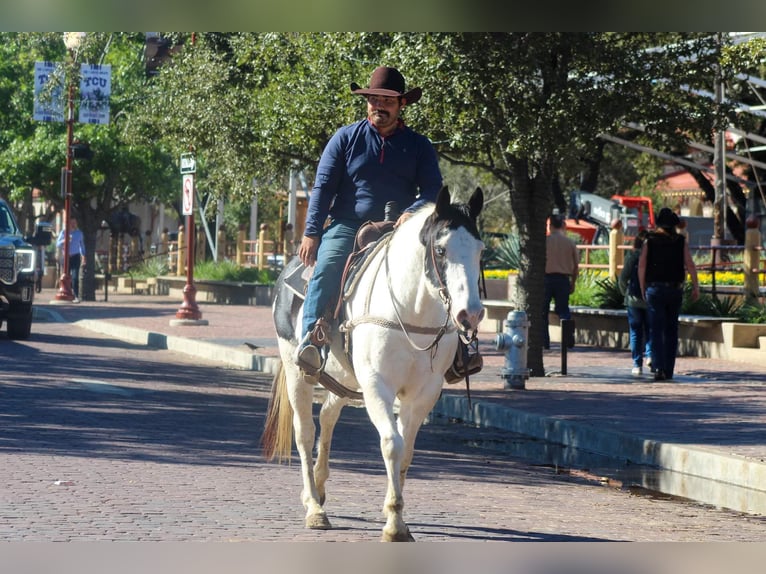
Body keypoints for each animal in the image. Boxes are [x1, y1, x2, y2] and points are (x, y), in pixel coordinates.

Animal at [260, 186, 485, 541]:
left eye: (480, 251)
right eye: (441, 249)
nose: (470, 315)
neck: (410, 311)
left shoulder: (424, 393)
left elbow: (407, 451)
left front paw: (399, 519)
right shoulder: (378, 386)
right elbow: (392, 444)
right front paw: (393, 522)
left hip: (344, 380)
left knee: (328, 417)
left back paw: (320, 486)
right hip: (298, 372)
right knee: (305, 432)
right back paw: (314, 507)